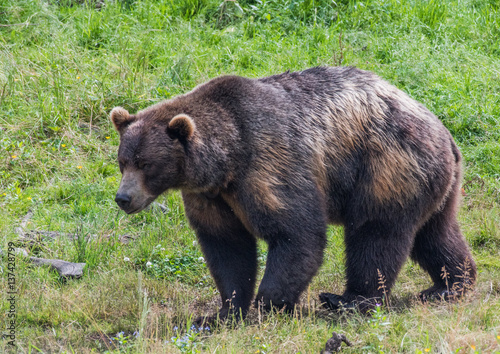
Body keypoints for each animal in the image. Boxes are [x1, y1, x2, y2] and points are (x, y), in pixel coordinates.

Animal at [109, 65, 476, 320]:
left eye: (146, 164)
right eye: (122, 161)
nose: (123, 198)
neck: (226, 162)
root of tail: (443, 131)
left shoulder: (269, 162)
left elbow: (296, 233)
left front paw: (267, 305)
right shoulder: (211, 196)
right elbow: (227, 247)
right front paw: (224, 311)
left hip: (386, 166)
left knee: (376, 235)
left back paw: (349, 299)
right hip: (431, 183)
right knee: (436, 233)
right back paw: (448, 285)